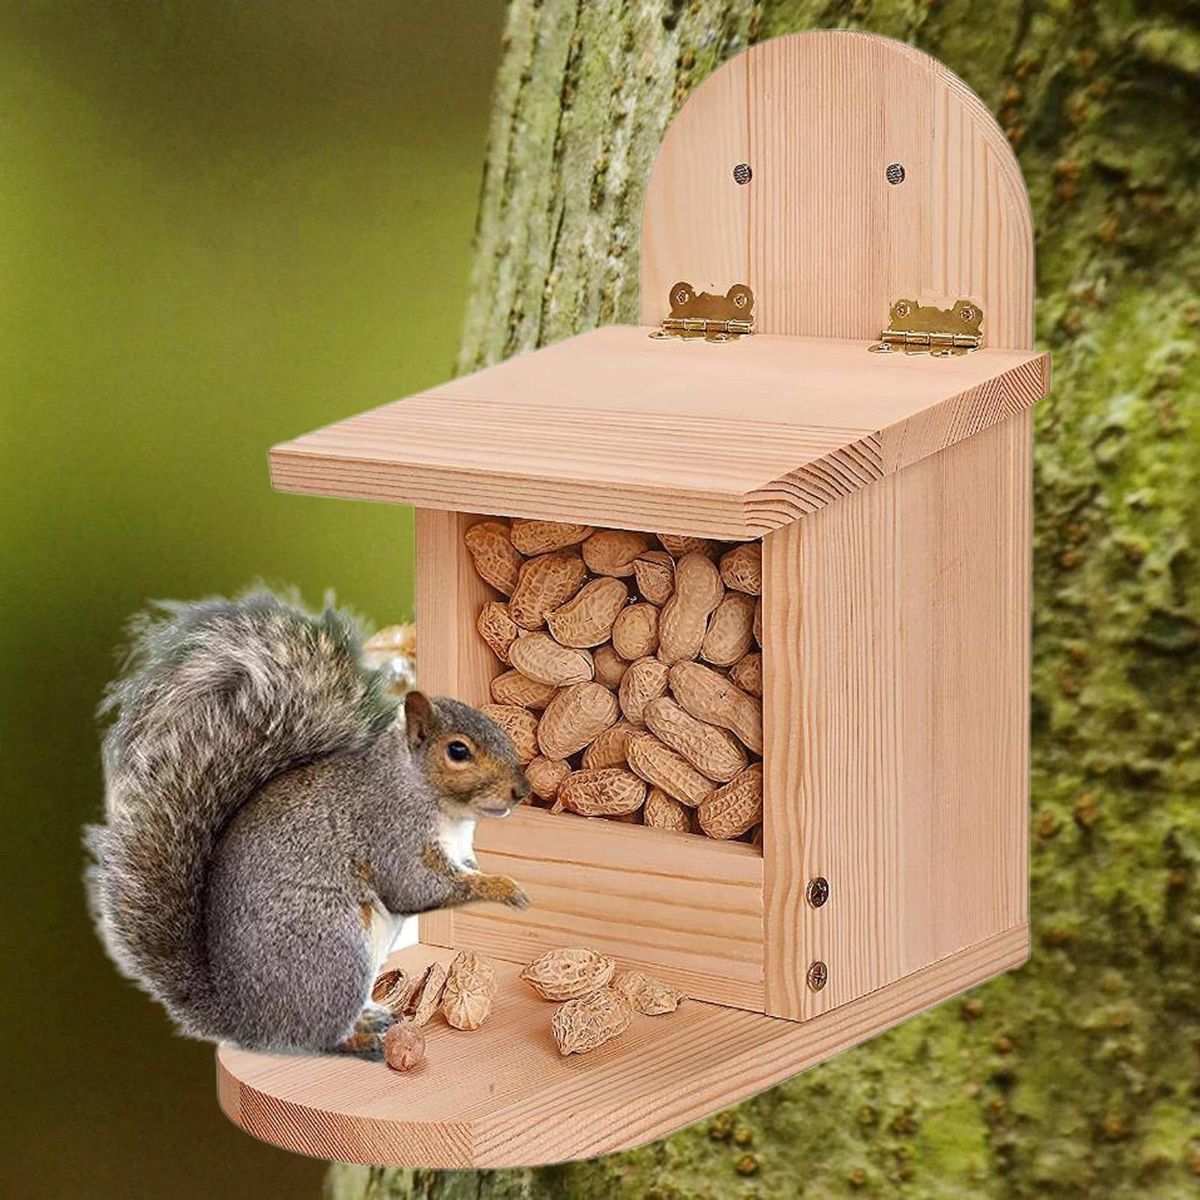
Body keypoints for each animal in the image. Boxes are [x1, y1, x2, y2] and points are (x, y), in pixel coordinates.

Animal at [84, 590, 531, 1057]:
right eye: (458, 751)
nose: (521, 790)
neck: (443, 808)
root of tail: (243, 1021)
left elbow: (463, 871)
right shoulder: (390, 829)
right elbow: (417, 887)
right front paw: (504, 888)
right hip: (334, 948)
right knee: (317, 1037)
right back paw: (364, 1036)